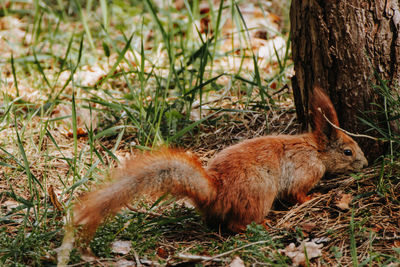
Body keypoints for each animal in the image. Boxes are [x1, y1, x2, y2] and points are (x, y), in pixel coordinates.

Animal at [73, 86, 368, 234]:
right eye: (348, 152)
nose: (365, 164)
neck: (315, 150)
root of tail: (215, 191)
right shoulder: (305, 170)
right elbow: (297, 193)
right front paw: (310, 199)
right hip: (259, 194)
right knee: (237, 223)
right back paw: (261, 225)